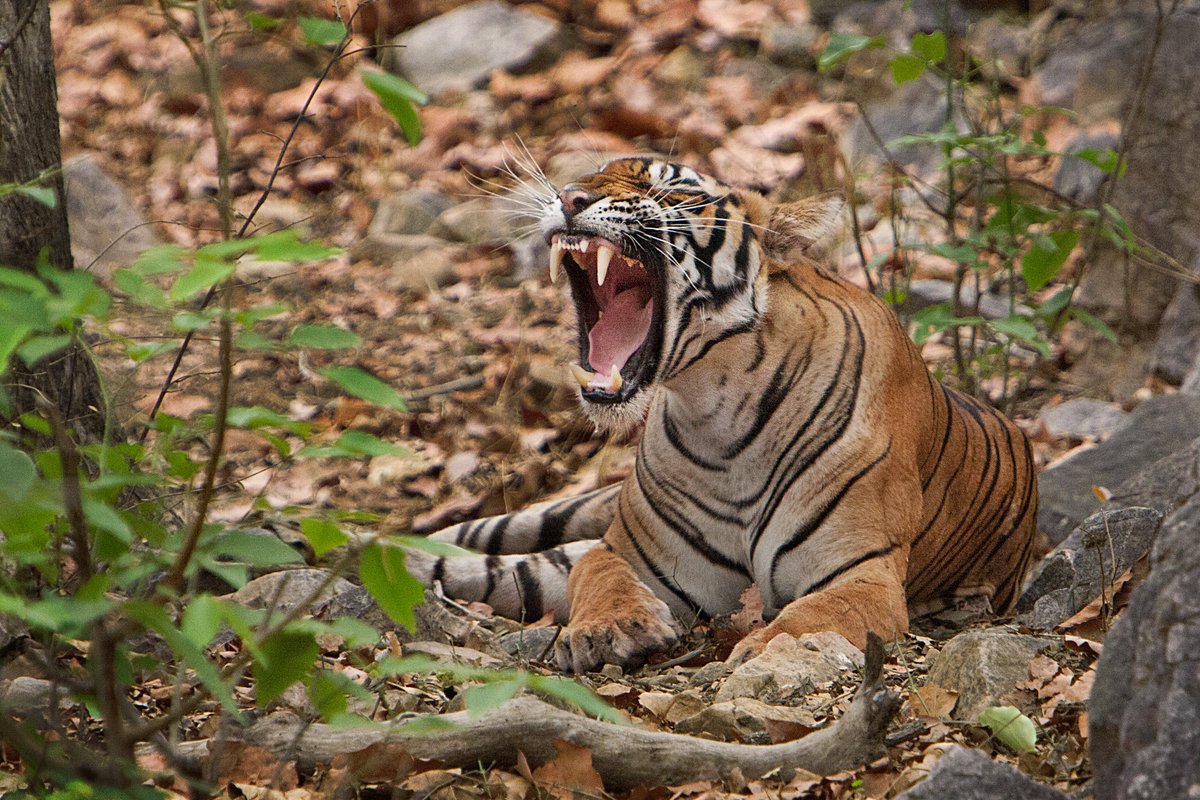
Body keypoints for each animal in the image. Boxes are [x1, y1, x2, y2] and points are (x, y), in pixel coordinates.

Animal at [405, 157, 1040, 673]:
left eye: (670, 188)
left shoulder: (862, 573)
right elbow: (599, 573)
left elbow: (810, 616)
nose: (569, 196)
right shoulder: (628, 551)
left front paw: (766, 650)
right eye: (591, 175)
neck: (719, 412)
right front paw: (611, 628)